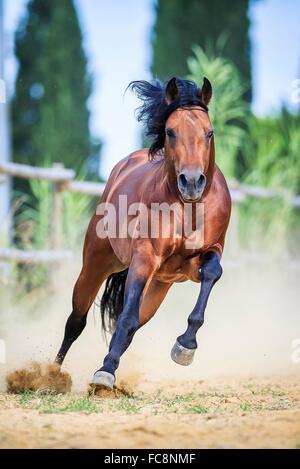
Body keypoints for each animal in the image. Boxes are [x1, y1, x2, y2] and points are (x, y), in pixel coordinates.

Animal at [54, 77, 232, 390]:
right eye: (170, 132)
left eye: (209, 132)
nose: (192, 182)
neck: (189, 208)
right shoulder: (145, 257)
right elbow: (124, 317)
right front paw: (104, 374)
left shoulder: (200, 258)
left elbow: (212, 272)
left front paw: (185, 346)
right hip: (97, 263)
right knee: (77, 321)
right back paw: (50, 375)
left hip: (160, 285)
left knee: (133, 324)